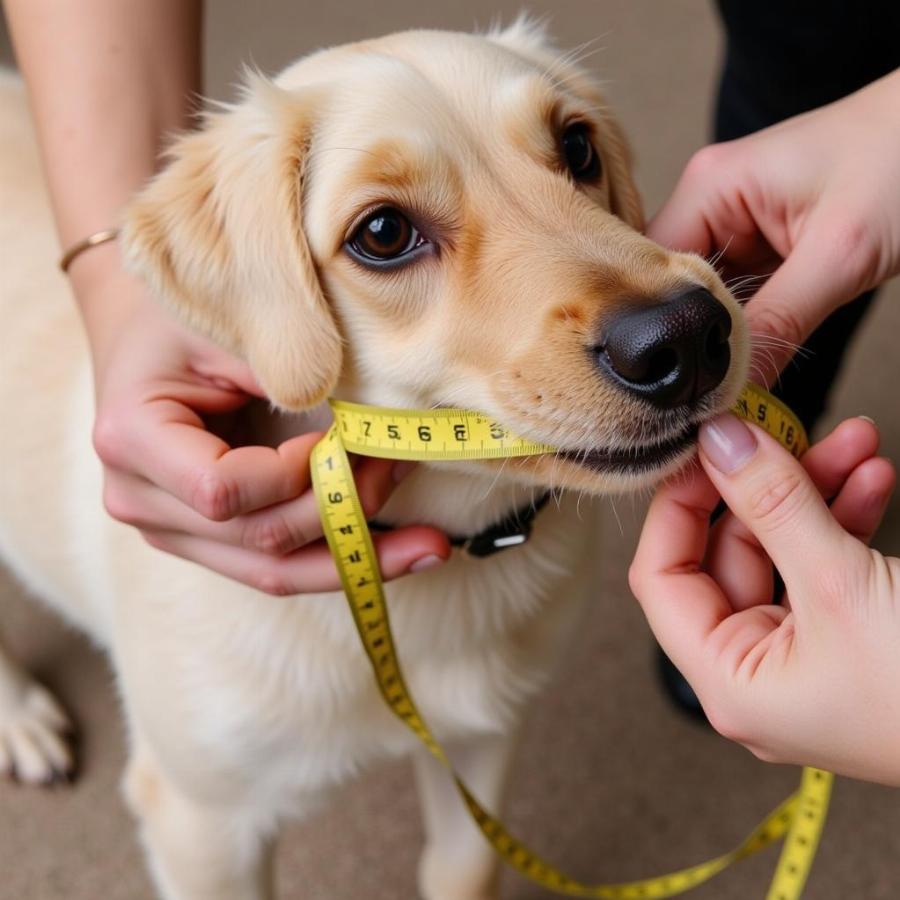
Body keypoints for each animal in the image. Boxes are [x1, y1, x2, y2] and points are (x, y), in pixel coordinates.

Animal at [0, 19, 744, 900]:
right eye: (383, 234)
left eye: (578, 147)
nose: (687, 338)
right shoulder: (201, 823)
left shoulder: (483, 741)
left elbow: (462, 868)